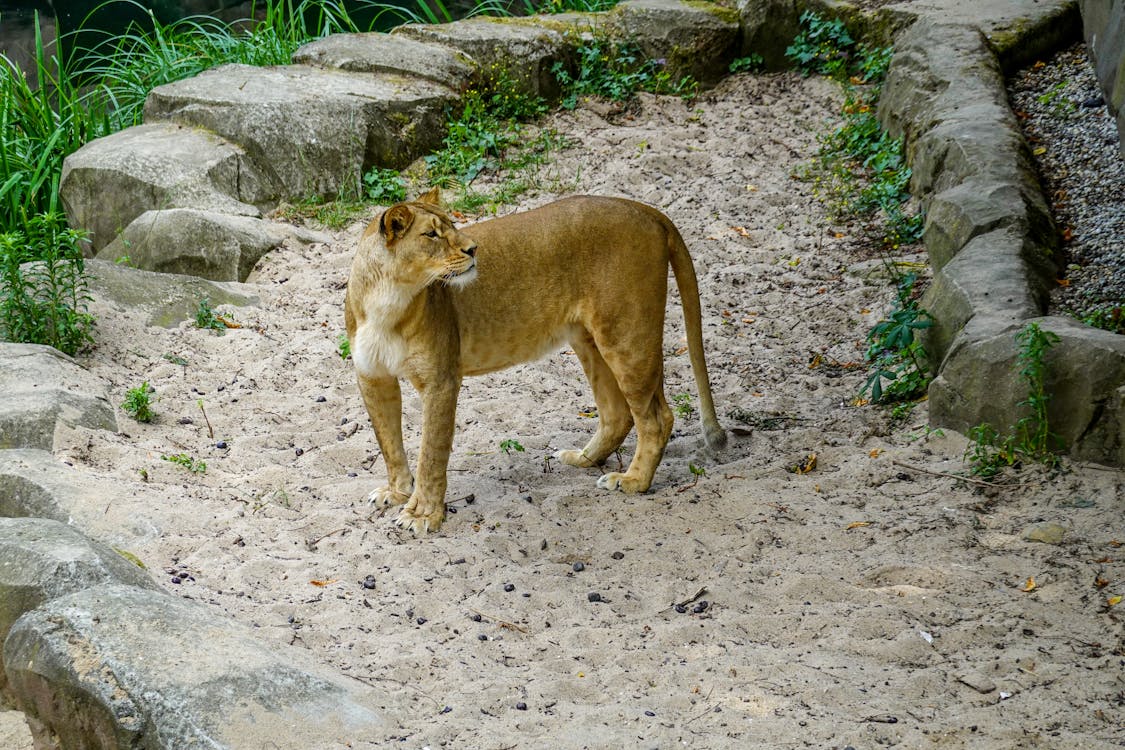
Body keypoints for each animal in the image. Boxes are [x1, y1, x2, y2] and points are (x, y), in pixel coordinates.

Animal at [346, 191, 724, 537]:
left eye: (452, 225)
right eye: (431, 234)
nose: (474, 249)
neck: (389, 301)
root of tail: (643, 208)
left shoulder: (441, 380)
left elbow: (431, 453)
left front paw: (422, 514)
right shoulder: (372, 378)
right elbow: (389, 442)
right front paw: (396, 493)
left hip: (627, 335)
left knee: (657, 418)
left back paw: (632, 480)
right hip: (589, 339)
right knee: (619, 414)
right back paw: (582, 459)